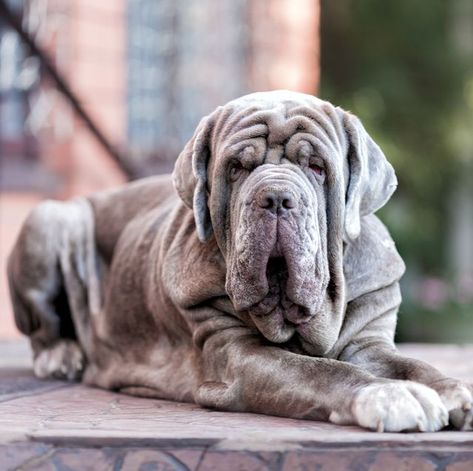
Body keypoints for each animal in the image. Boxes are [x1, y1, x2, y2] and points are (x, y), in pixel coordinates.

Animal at [7, 90, 472, 434]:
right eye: (236, 168)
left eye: (317, 167)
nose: (277, 197)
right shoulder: (239, 356)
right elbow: (323, 372)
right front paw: (393, 395)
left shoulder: (368, 343)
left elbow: (412, 364)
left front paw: (451, 390)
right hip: (51, 219)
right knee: (44, 328)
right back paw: (61, 356)